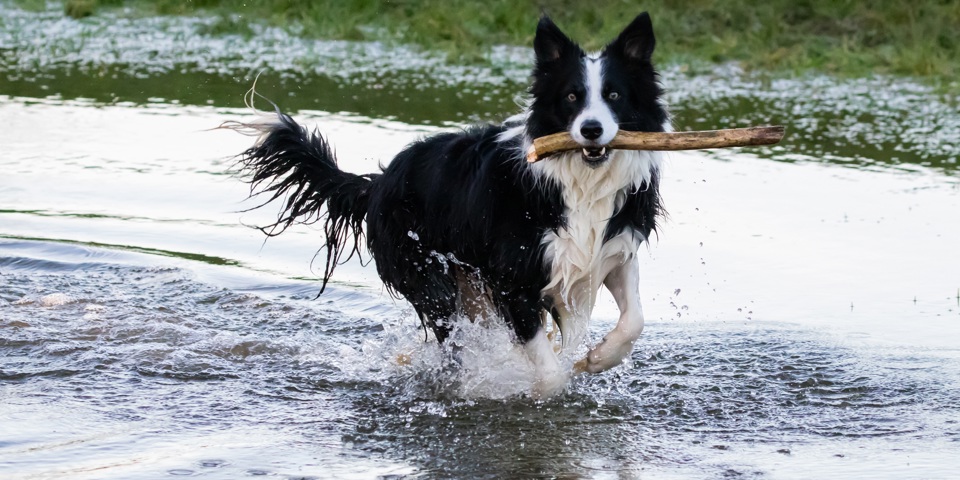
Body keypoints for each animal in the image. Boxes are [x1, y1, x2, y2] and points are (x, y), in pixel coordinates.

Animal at [232, 14, 668, 398]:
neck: (579, 180)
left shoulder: (612, 249)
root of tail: (379, 182)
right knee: (451, 341)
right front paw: (539, 392)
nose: (591, 130)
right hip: (430, 278)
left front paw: (596, 359)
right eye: (572, 97)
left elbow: (634, 320)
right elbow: (546, 368)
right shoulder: (513, 278)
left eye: (614, 95)